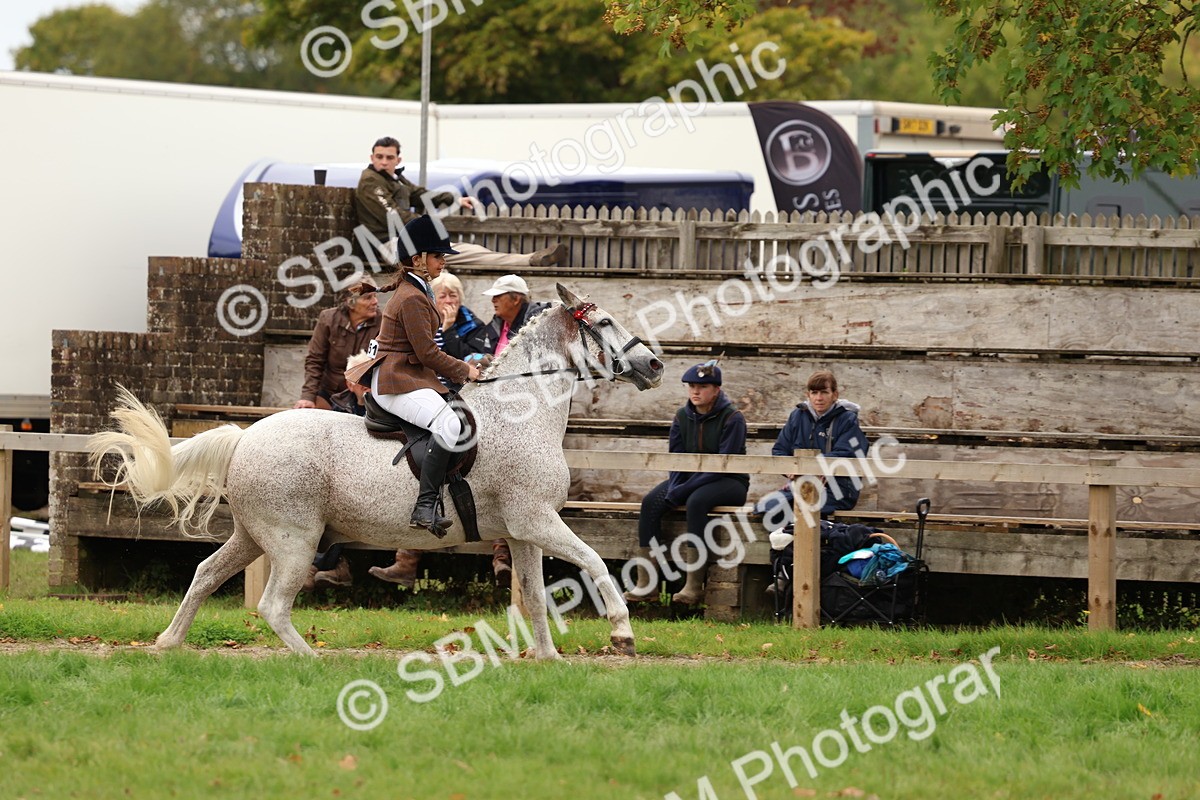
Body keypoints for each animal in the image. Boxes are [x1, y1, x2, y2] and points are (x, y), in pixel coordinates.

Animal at [88, 284, 664, 657]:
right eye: (606, 323)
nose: (656, 365)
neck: (522, 411)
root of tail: (246, 436)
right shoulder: (539, 520)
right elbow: (595, 562)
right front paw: (622, 632)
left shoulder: (524, 531)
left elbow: (536, 596)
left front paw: (548, 660)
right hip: (295, 538)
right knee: (273, 604)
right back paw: (311, 661)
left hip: (255, 533)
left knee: (206, 574)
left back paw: (168, 643)